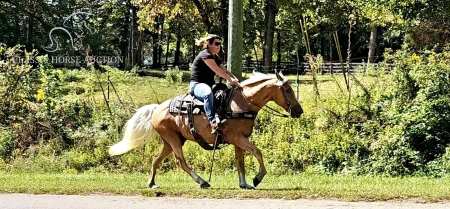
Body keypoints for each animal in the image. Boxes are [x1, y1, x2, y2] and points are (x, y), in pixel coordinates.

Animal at [108, 70, 302, 189]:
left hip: (172, 141)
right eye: (287, 90)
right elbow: (257, 152)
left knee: (156, 159)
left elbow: (240, 162)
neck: (242, 103)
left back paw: (152, 183)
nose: (299, 111)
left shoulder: (239, 140)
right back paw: (202, 181)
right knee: (180, 161)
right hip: (172, 139)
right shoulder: (237, 138)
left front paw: (244, 184)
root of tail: (156, 109)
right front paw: (258, 178)